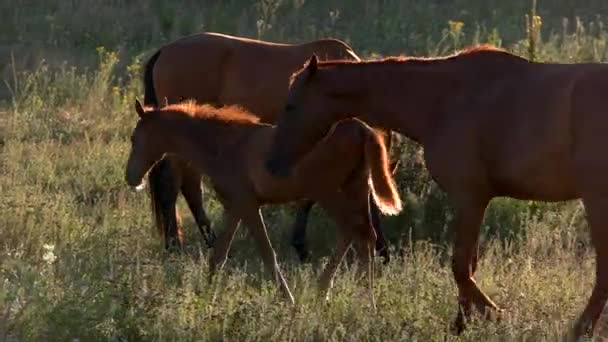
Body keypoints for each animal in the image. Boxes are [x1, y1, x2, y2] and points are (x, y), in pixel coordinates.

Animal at [124, 99, 402, 308]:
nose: (131, 178)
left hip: (329, 193)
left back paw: (361, 300)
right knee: (359, 235)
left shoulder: (248, 205)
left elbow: (267, 253)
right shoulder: (236, 207)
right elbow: (219, 254)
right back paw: (332, 293)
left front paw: (288, 300)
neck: (224, 145)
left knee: (358, 233)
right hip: (355, 191)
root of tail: (362, 129)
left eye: (134, 137)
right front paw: (206, 296)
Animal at [143, 32, 394, 262]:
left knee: (189, 188)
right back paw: (177, 247)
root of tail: (165, 51)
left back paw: (206, 242)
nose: (383, 252)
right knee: (173, 186)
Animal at [266, 46, 608, 340]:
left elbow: (460, 268)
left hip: (595, 200)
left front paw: (493, 315)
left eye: (290, 105)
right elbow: (468, 267)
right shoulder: (473, 201)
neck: (442, 99)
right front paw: (463, 323)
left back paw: (581, 329)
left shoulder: (470, 197)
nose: (273, 164)